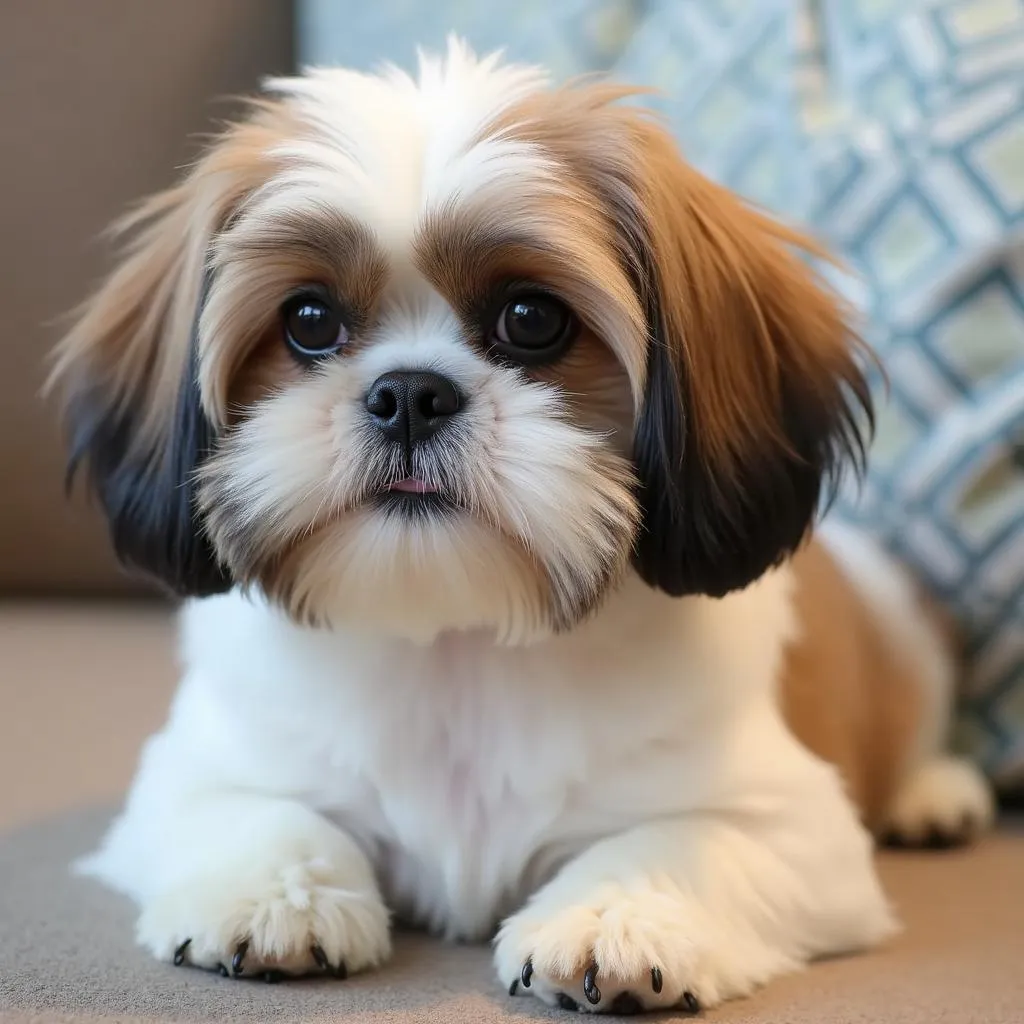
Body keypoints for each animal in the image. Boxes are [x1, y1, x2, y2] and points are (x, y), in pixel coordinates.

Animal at [51, 39, 995, 1015]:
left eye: (532, 319)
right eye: (309, 320)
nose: (409, 393)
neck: (457, 641)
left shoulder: (792, 826)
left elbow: (676, 841)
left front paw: (618, 919)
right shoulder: (192, 775)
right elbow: (261, 813)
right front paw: (276, 895)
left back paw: (934, 793)